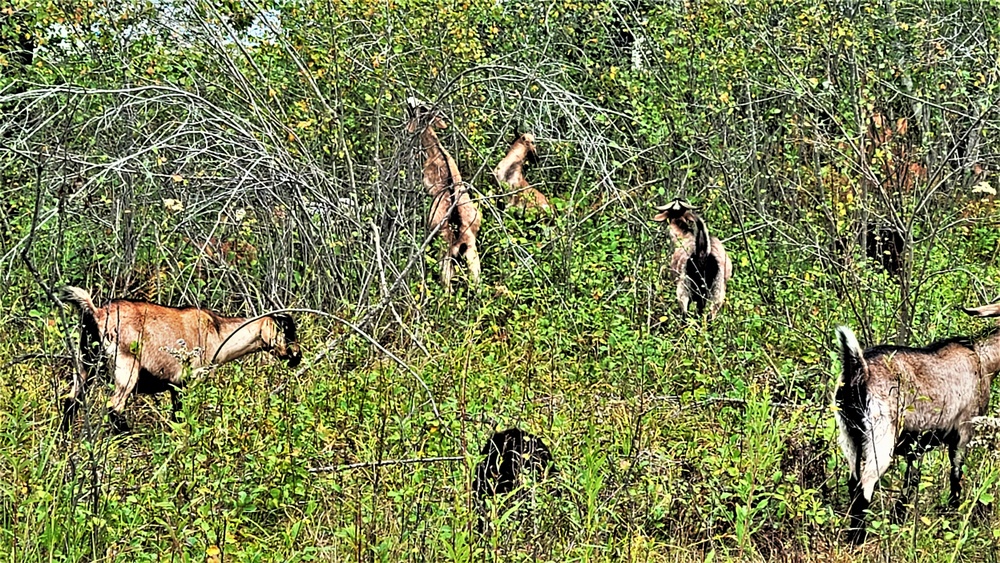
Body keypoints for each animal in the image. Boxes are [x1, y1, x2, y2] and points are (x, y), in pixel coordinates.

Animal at [406, 97, 484, 294]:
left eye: (419, 108)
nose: (409, 99)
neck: (437, 151)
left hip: (445, 254)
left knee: (447, 286)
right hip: (472, 255)